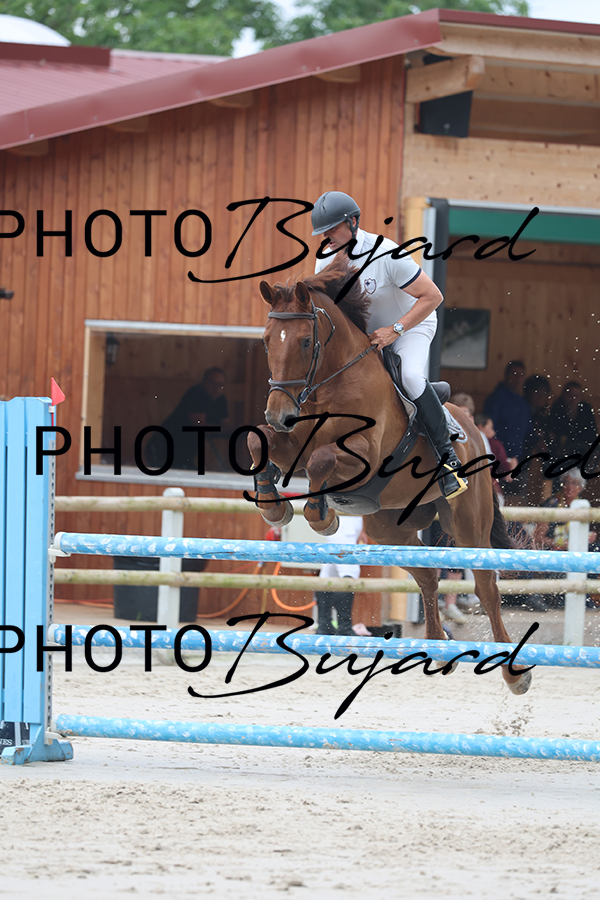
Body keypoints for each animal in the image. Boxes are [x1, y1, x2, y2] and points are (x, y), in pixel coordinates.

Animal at [246, 256, 532, 695]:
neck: (331, 383)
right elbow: (258, 442)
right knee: (428, 575)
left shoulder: (361, 455)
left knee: (486, 586)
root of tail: (474, 430)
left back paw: (515, 673)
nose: (279, 415)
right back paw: (437, 645)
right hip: (388, 526)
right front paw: (273, 506)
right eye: (265, 341)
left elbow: (321, 461)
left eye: (305, 342)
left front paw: (321, 516)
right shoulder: (293, 444)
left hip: (468, 521)